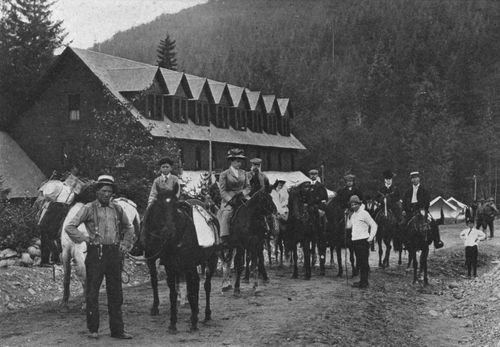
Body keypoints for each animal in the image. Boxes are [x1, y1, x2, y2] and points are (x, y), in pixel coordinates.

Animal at [142, 192, 218, 334]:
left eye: (174, 209)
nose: (146, 244)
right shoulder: (170, 268)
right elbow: (173, 294)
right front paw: (173, 323)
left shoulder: (188, 267)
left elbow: (190, 291)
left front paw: (193, 322)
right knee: (196, 284)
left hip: (212, 260)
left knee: (207, 285)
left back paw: (206, 315)